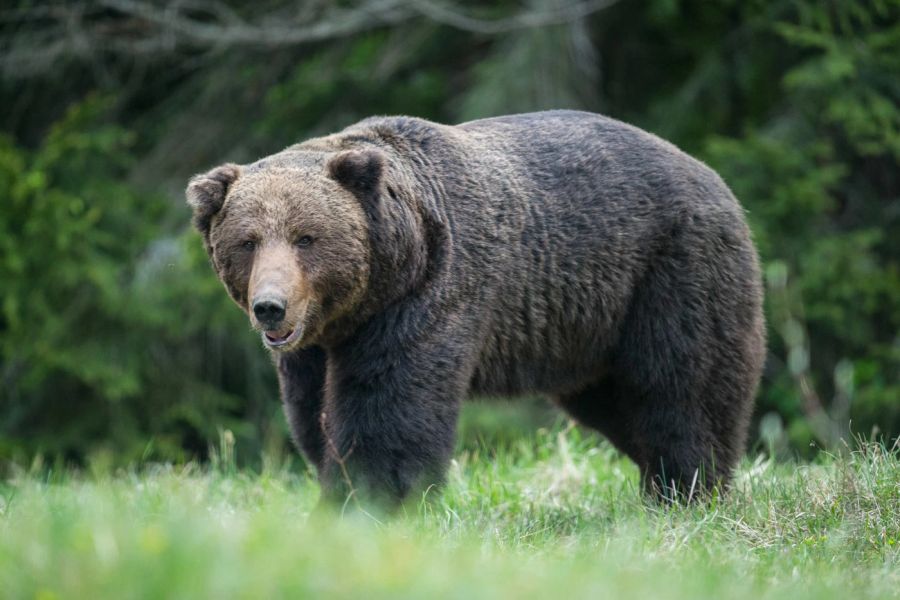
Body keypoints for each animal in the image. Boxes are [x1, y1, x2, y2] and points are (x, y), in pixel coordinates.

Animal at [186, 110, 764, 508]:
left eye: (306, 237)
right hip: (588, 328)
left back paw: (689, 488)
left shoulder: (429, 296)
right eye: (247, 241)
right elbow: (312, 415)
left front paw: (373, 498)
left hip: (668, 270)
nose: (271, 308)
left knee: (681, 383)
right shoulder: (314, 348)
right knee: (615, 401)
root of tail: (714, 176)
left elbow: (390, 409)